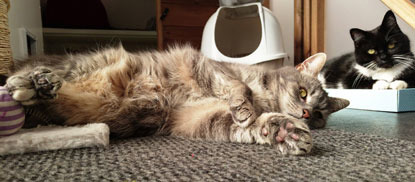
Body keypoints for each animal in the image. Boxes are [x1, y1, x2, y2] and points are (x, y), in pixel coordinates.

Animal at [4, 45, 350, 155]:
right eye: (303, 93)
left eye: (319, 115)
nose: (305, 114)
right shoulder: (212, 69)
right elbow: (239, 88)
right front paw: (245, 106)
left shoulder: (196, 119)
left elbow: (256, 126)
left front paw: (286, 132)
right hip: (82, 66)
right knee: (25, 80)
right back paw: (33, 81)